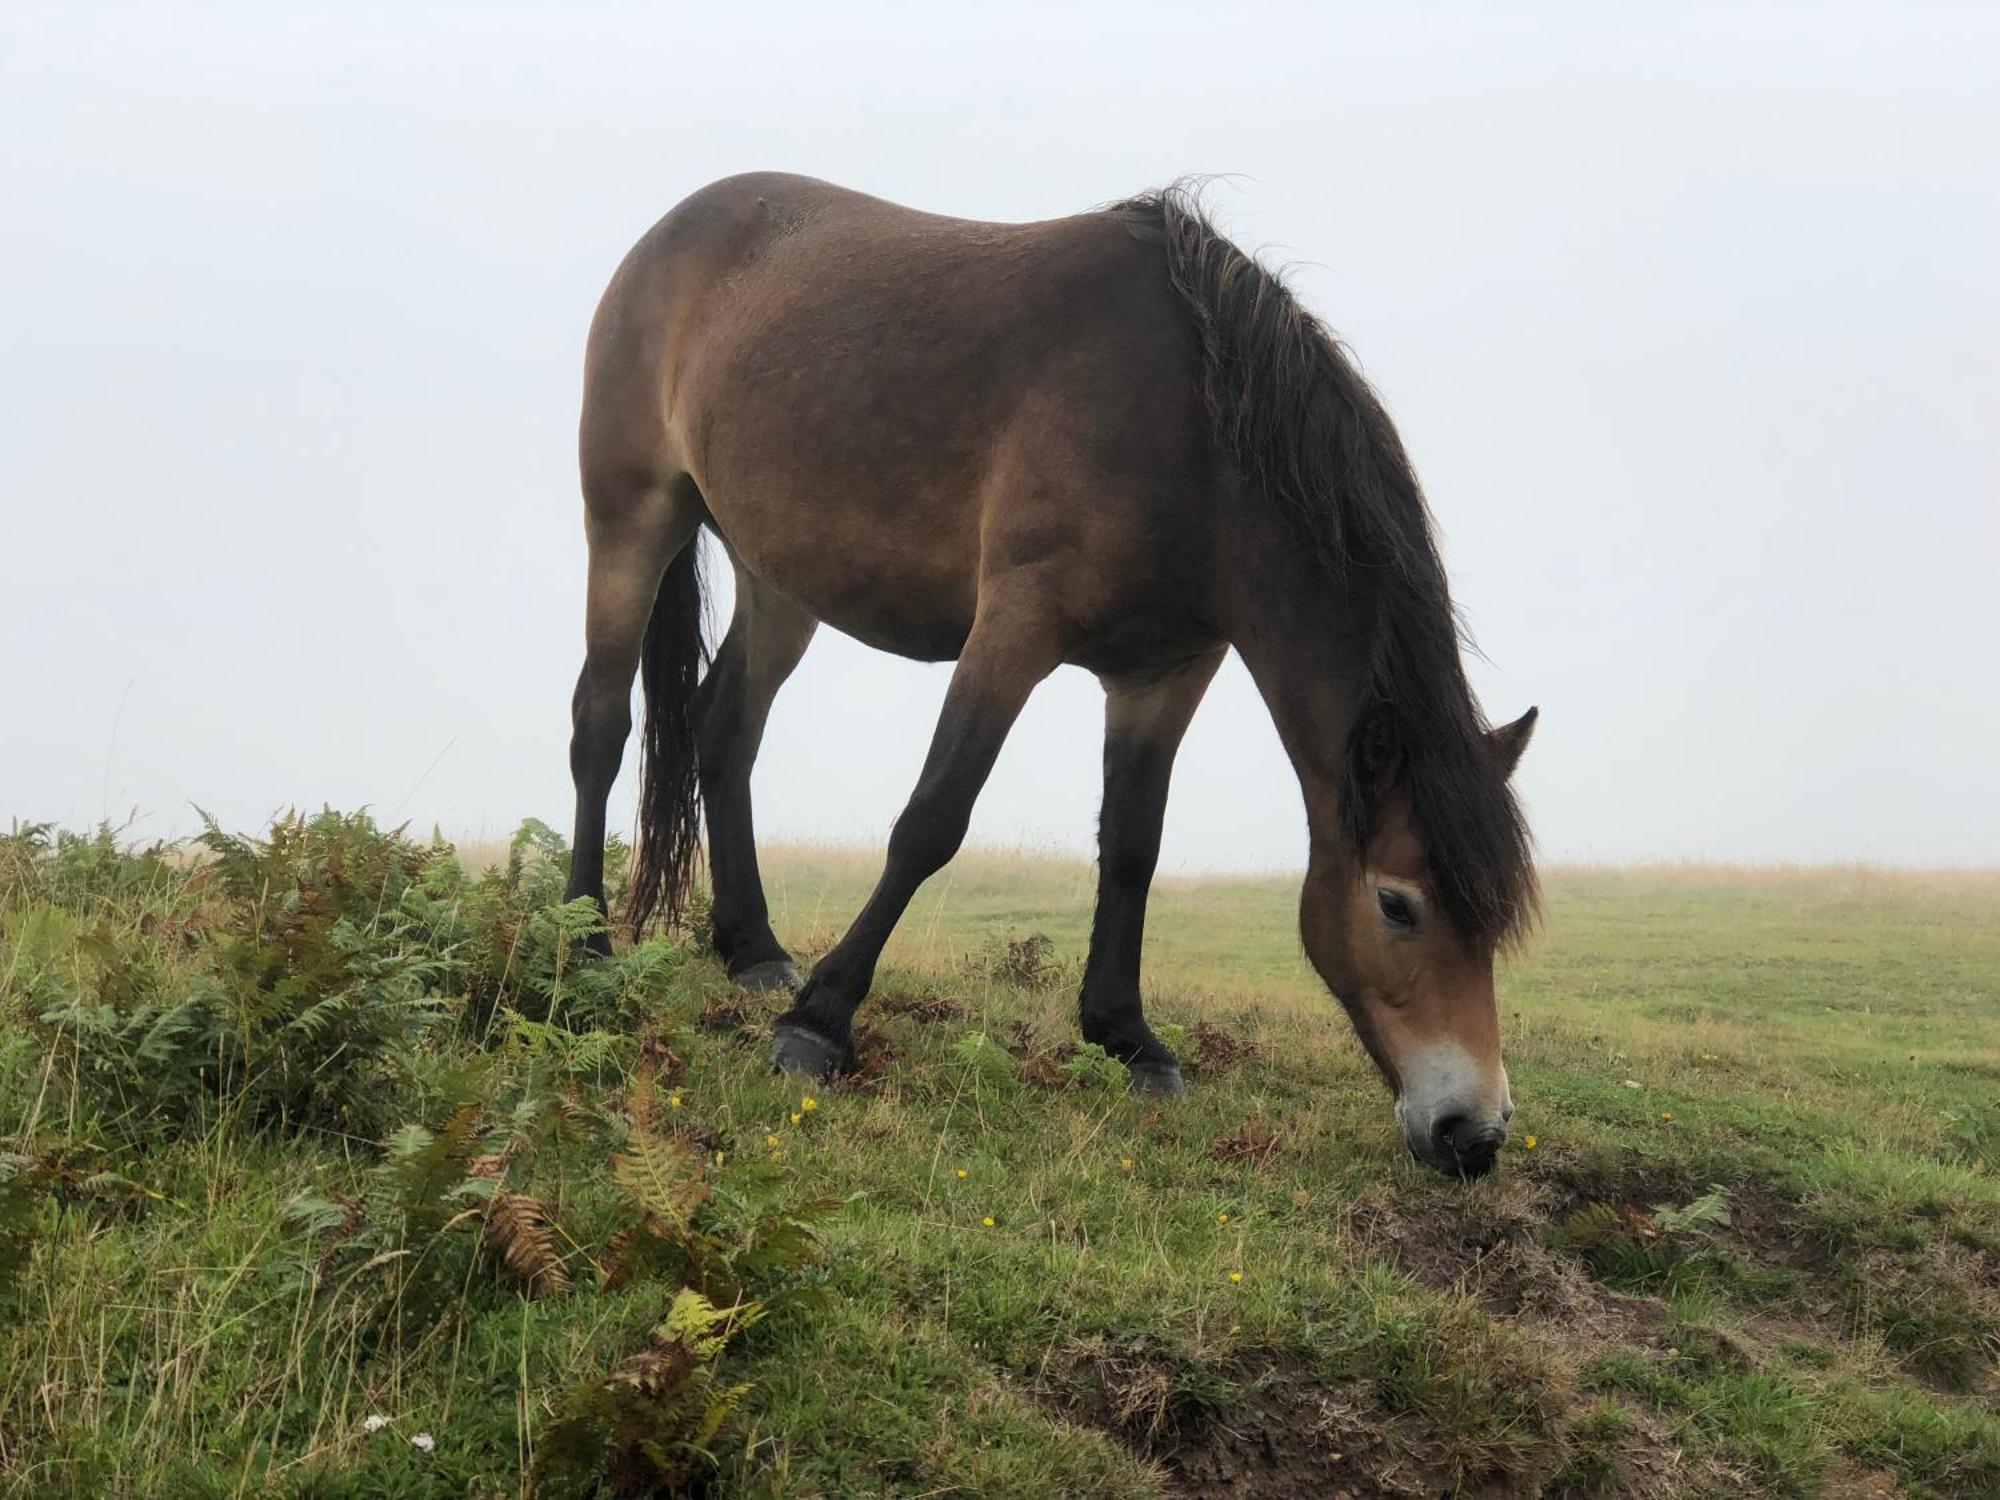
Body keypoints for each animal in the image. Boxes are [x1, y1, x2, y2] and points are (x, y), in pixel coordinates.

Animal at [572, 176, 1536, 1184]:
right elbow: (932, 821)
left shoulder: (1166, 672)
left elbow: (1134, 846)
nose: (1473, 1133)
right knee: (601, 723)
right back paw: (586, 940)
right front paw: (821, 1021)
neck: (1193, 431)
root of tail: (679, 227)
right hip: (633, 516)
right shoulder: (1015, 627)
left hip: (779, 578)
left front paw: (1126, 1036)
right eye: (1397, 905)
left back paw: (753, 951)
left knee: (724, 728)